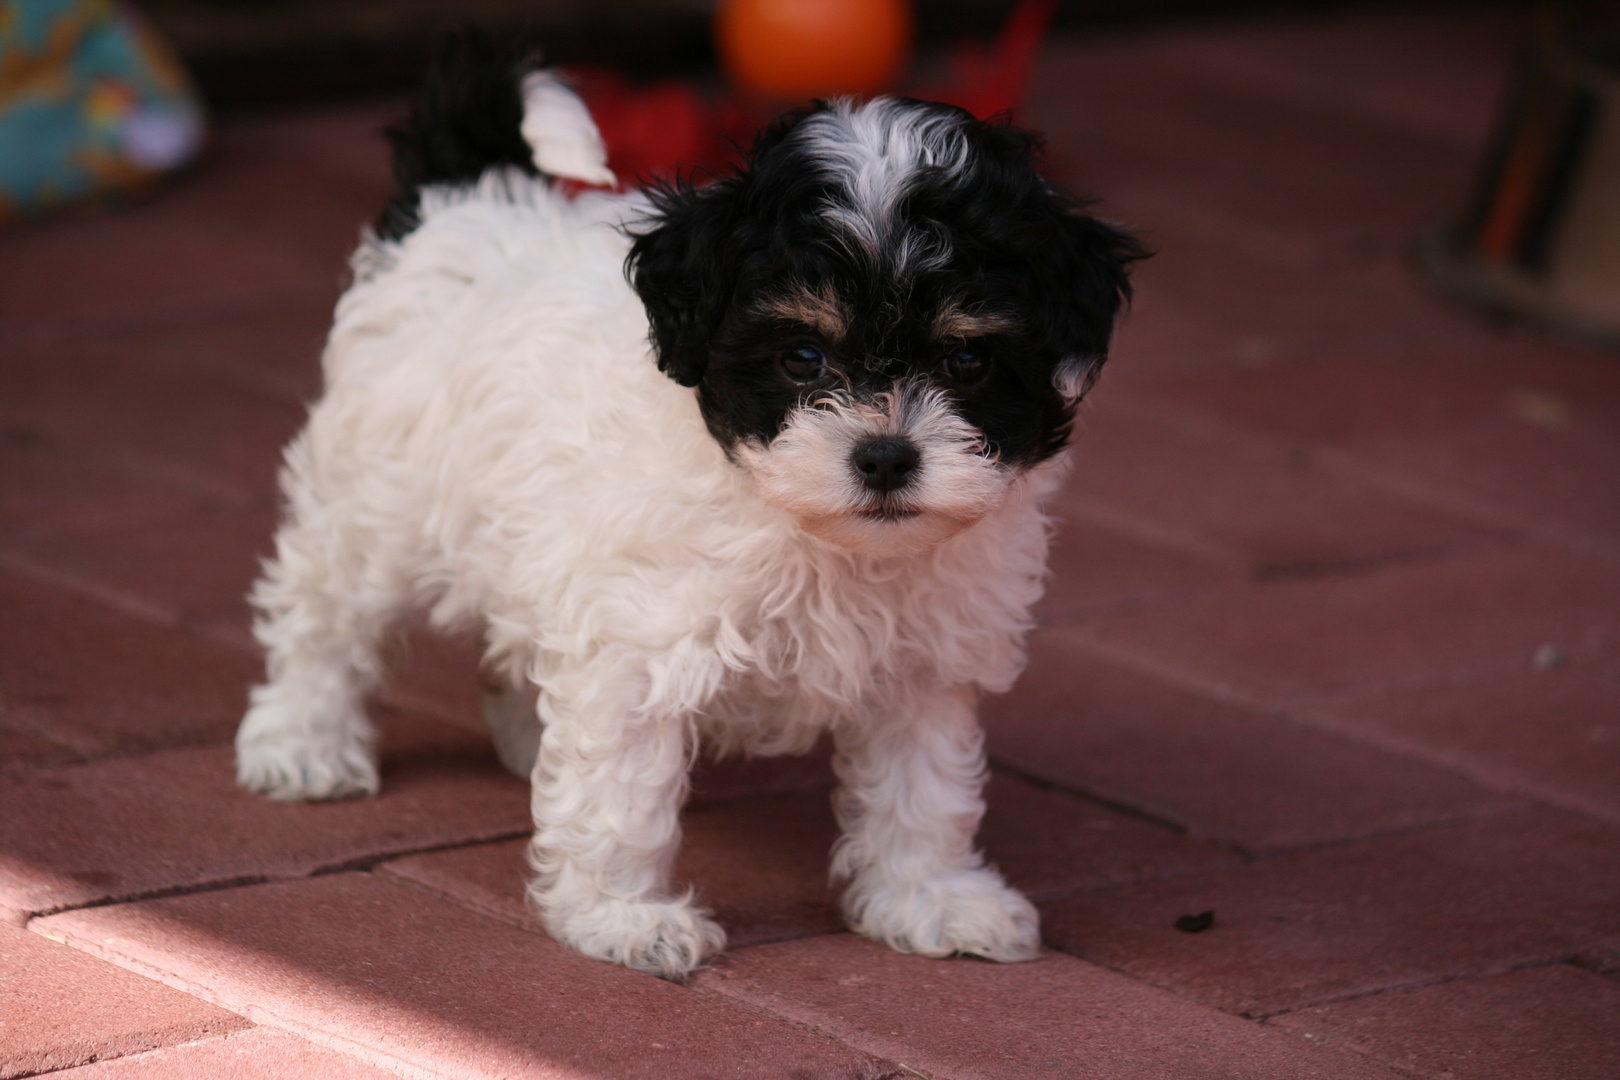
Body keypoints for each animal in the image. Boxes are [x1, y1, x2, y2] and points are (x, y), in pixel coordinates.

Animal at [236, 40, 1140, 977]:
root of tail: (463, 204)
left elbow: (923, 790)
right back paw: (302, 741)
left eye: (968, 362)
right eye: (803, 357)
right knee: (324, 615)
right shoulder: (635, 647)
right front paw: (622, 918)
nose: (887, 456)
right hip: (375, 504)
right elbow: (622, 794)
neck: (811, 532)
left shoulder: (923, 667)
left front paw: (929, 898)